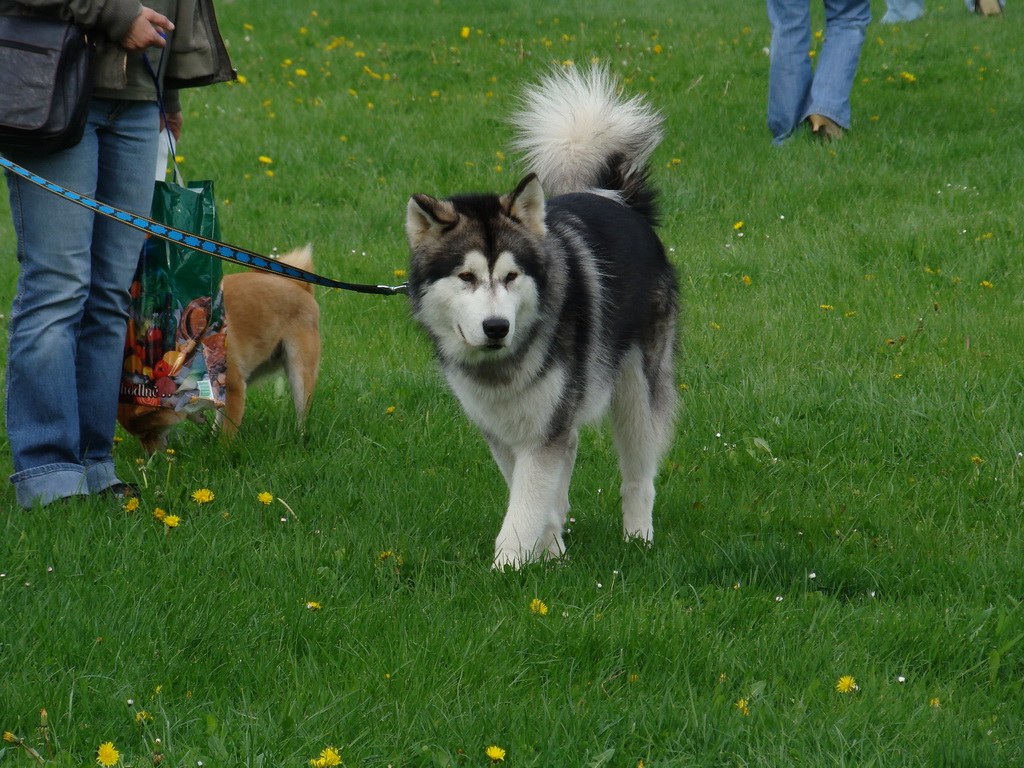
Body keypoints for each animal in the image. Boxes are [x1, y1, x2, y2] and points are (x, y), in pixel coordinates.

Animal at [117, 243, 321, 454]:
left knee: (301, 412)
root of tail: (298, 285)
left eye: (148, 433)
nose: (152, 457)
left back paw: (299, 437)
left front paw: (223, 450)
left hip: (298, 373)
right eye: (140, 437)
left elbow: (228, 431)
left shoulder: (234, 388)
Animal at [403, 66, 675, 569]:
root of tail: (620, 203)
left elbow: (525, 505)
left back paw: (638, 538)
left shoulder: (542, 432)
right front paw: (550, 552)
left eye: (511, 276)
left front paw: (507, 567)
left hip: (636, 390)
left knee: (639, 473)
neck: (502, 365)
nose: (496, 327)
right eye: (466, 276)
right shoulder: (505, 430)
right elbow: (533, 493)